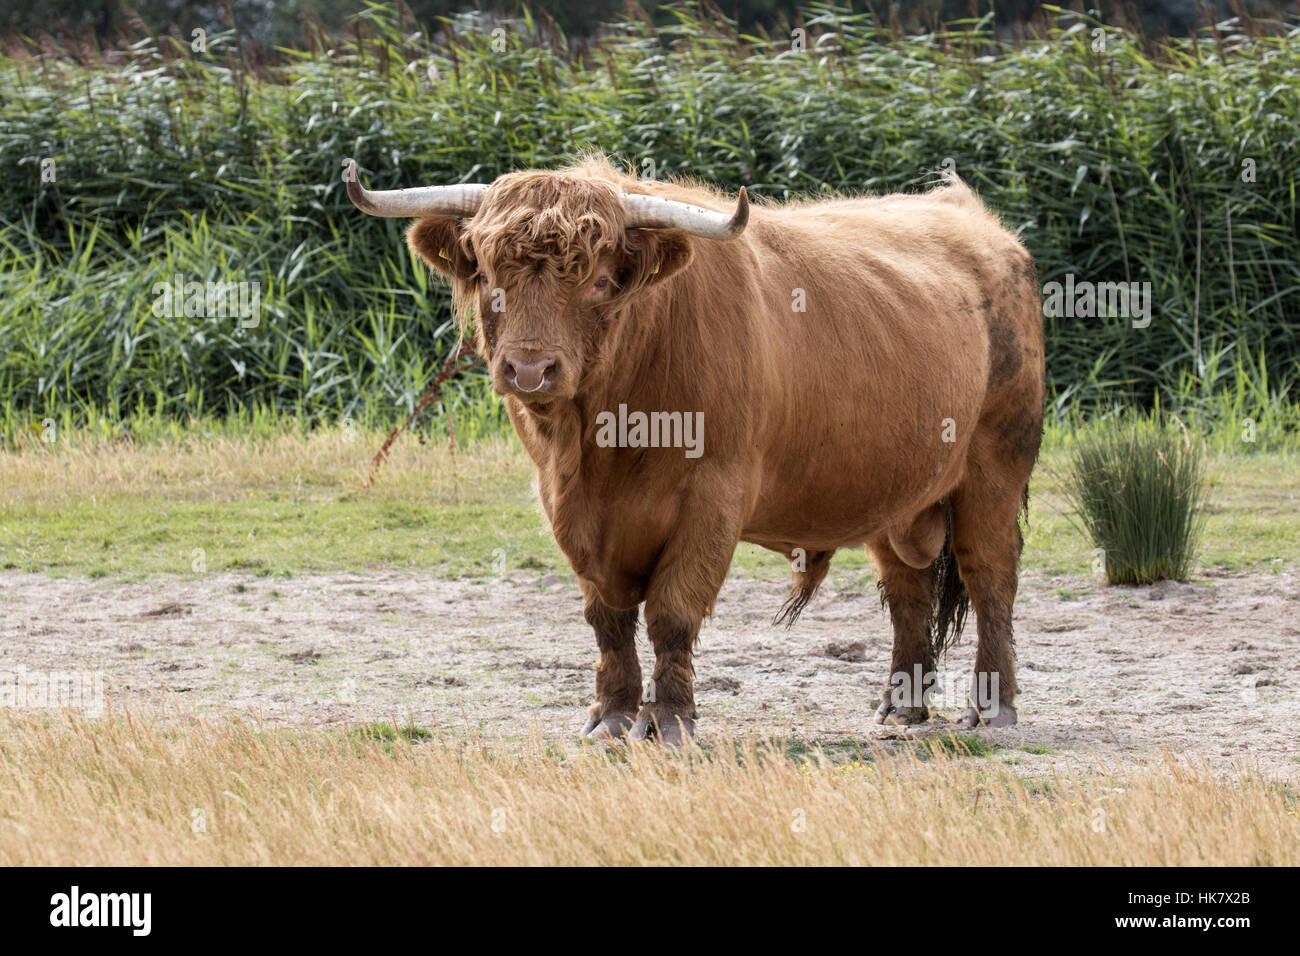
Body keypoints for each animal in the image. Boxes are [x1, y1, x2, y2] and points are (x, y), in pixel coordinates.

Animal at [346, 156, 1044, 746]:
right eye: (490, 276)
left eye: (600, 281)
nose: (528, 369)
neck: (604, 442)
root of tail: (976, 221)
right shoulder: (567, 509)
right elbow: (607, 621)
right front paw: (612, 716)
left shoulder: (713, 500)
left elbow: (672, 613)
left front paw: (670, 721)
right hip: (892, 489)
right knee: (906, 587)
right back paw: (901, 707)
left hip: (994, 466)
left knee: (990, 577)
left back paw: (991, 708)